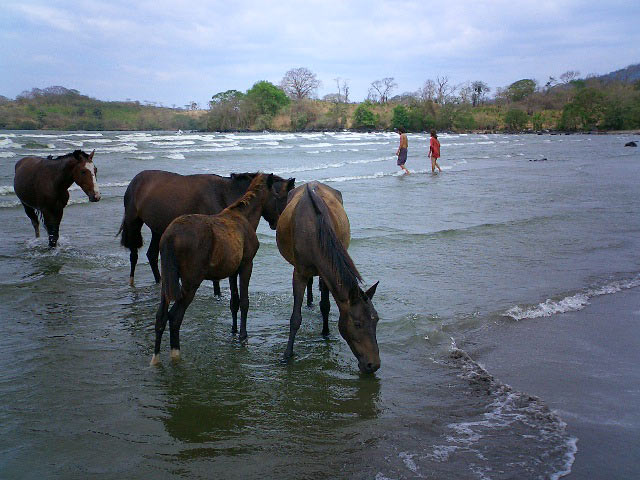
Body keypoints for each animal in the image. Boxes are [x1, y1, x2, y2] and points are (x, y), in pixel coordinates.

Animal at [119, 170, 296, 288]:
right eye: (280, 197)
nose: (279, 222)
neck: (223, 194)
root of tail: (135, 181)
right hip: (133, 223)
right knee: (134, 254)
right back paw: (132, 282)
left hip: (157, 229)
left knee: (151, 255)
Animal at [151, 174, 282, 366]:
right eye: (276, 196)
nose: (276, 222)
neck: (243, 218)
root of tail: (170, 236)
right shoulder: (246, 265)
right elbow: (244, 302)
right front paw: (243, 336)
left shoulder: (233, 271)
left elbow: (234, 302)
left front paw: (234, 331)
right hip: (190, 283)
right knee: (175, 317)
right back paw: (176, 354)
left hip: (167, 282)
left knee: (161, 317)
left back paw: (156, 358)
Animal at [276, 182, 380, 374]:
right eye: (357, 324)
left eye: (376, 320)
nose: (373, 365)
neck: (313, 232)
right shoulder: (299, 272)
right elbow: (295, 318)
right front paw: (287, 354)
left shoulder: (326, 271)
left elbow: (325, 306)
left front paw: (325, 333)